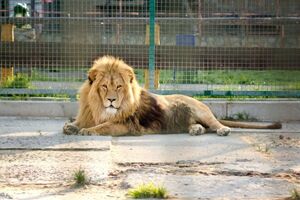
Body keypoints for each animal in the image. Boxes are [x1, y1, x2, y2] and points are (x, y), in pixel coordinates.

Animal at [63, 55, 282, 136]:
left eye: (118, 87)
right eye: (104, 87)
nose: (111, 100)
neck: (99, 107)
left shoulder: (126, 125)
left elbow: (104, 126)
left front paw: (87, 131)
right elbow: (80, 122)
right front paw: (71, 126)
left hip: (200, 110)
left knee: (214, 124)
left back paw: (222, 130)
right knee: (200, 126)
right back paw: (195, 130)